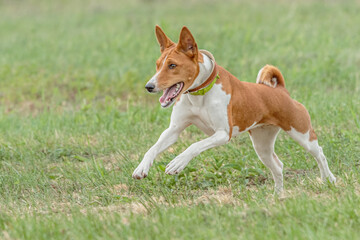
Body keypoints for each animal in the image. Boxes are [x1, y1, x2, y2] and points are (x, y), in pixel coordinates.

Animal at [133, 24, 338, 193]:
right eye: (157, 65)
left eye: (172, 65)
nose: (149, 86)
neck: (199, 95)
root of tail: (281, 90)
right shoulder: (174, 130)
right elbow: (153, 148)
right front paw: (141, 168)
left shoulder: (223, 133)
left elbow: (194, 145)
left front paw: (178, 162)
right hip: (262, 146)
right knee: (278, 166)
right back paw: (278, 195)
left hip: (301, 134)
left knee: (319, 153)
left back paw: (329, 179)